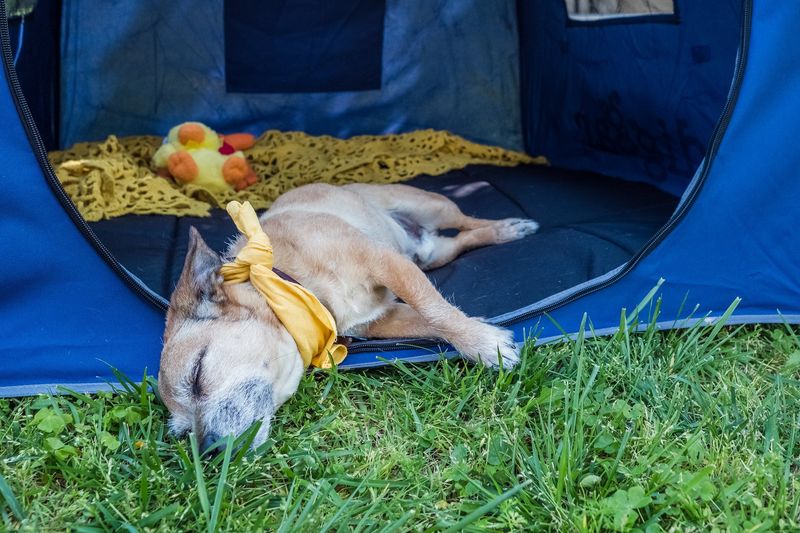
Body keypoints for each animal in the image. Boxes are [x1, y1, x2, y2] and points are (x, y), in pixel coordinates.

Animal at [158, 183, 536, 448]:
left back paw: (510, 227)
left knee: (467, 221)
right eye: (183, 432)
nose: (209, 451)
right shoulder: (384, 317)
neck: (296, 287)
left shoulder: (386, 262)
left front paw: (483, 345)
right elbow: (430, 318)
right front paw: (478, 331)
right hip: (434, 255)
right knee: (463, 240)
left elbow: (433, 308)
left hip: (434, 208)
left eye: (197, 373)